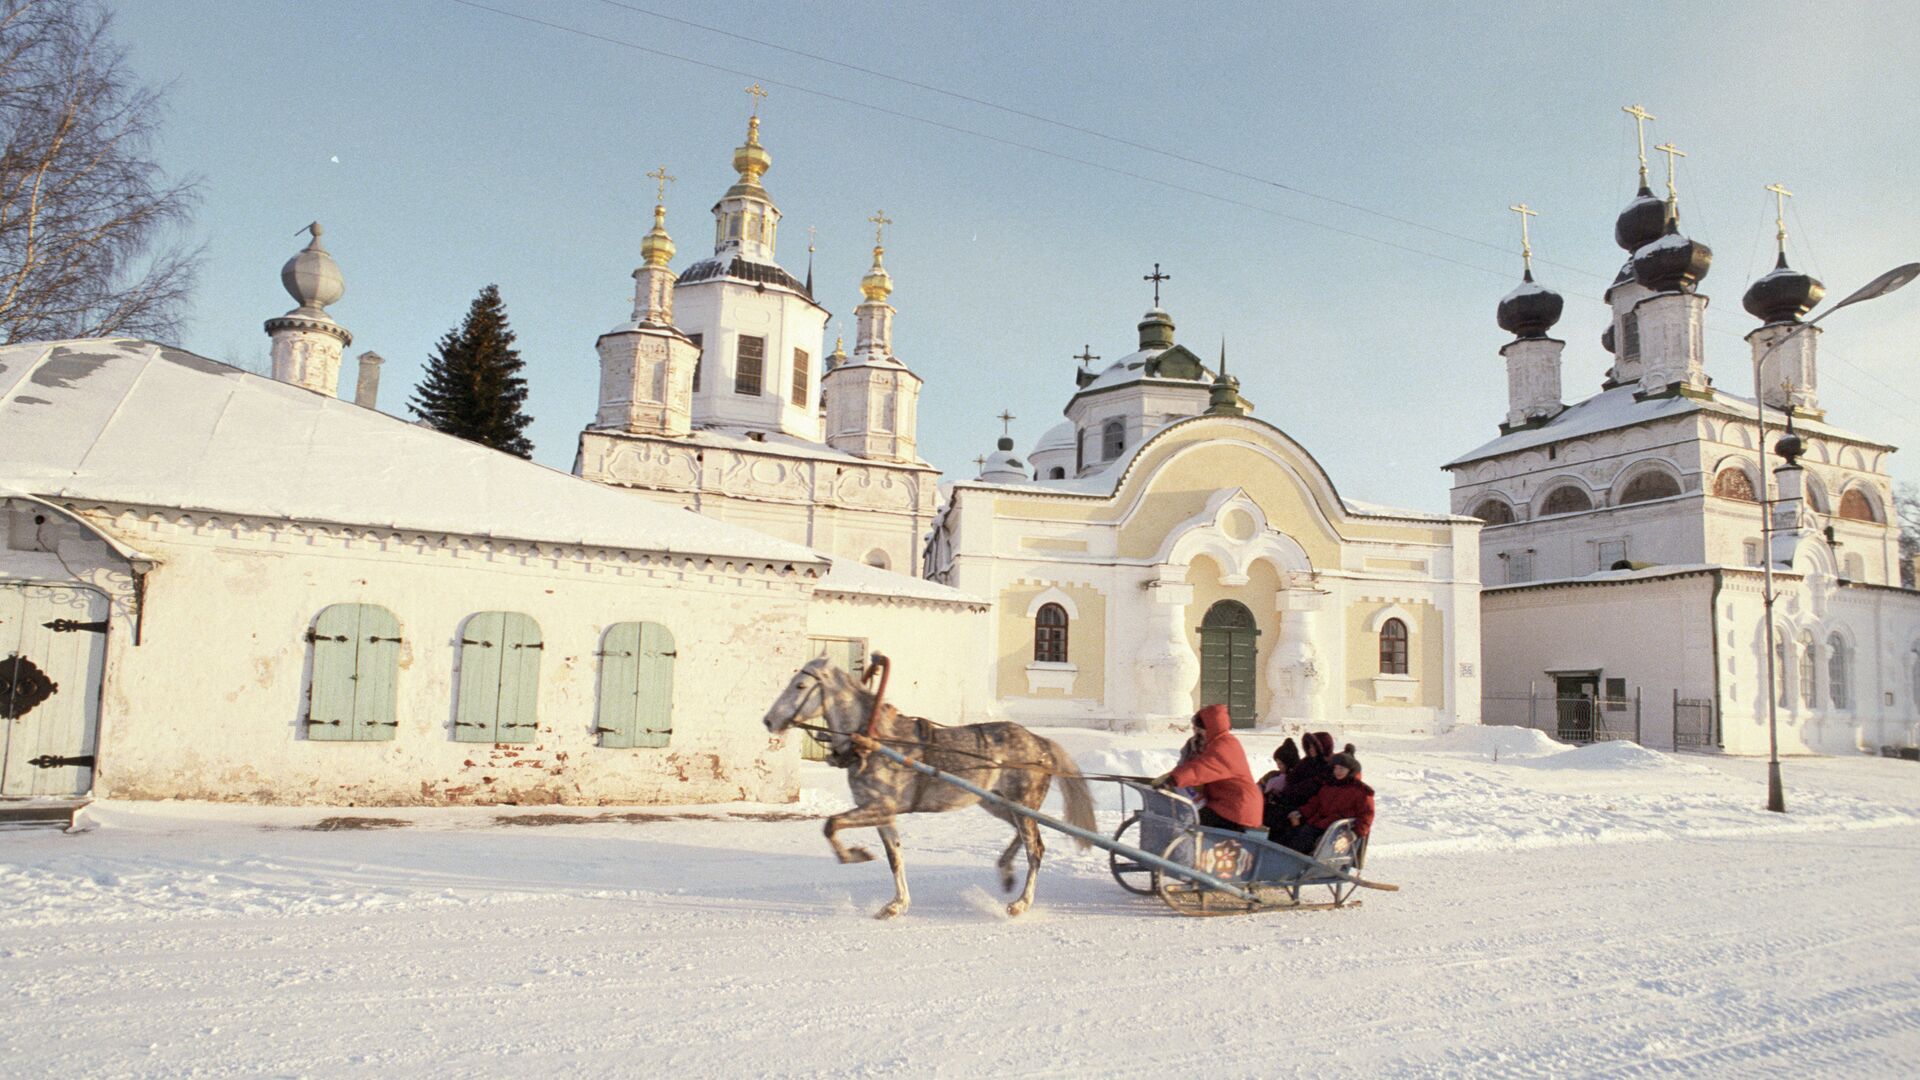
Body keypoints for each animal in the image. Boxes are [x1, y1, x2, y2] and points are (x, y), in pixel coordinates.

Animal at [760, 657, 1098, 914]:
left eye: (800, 686)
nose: (768, 720)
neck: (875, 742)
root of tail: (1041, 742)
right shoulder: (883, 814)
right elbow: (895, 858)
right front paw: (896, 904)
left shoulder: (878, 807)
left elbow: (830, 825)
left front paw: (855, 855)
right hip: (998, 804)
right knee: (1024, 838)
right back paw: (1005, 872)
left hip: (1021, 805)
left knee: (1036, 848)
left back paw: (1021, 903)